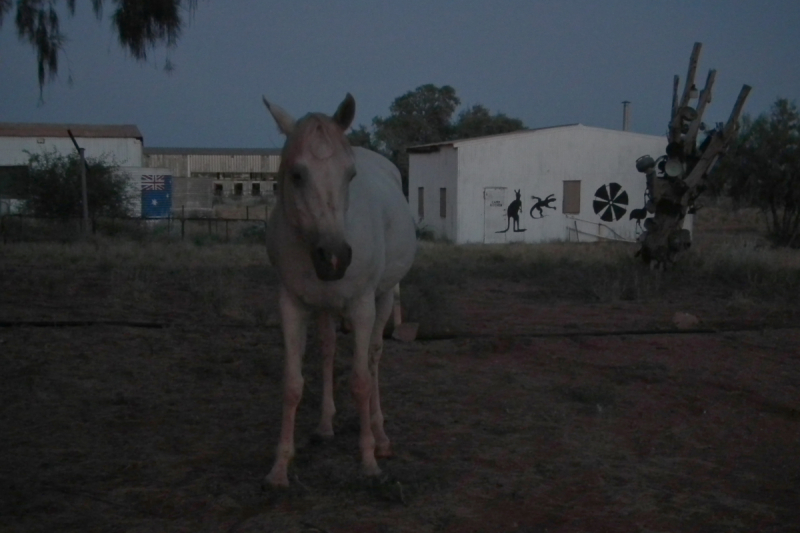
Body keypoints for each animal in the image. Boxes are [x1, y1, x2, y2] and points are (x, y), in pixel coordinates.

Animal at [262, 92, 418, 486]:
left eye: (350, 175)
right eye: (297, 174)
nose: (334, 257)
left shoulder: (362, 306)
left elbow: (361, 380)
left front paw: (368, 461)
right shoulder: (292, 304)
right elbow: (292, 383)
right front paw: (279, 467)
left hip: (383, 296)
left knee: (374, 357)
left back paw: (380, 436)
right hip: (325, 306)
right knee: (329, 351)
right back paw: (325, 425)